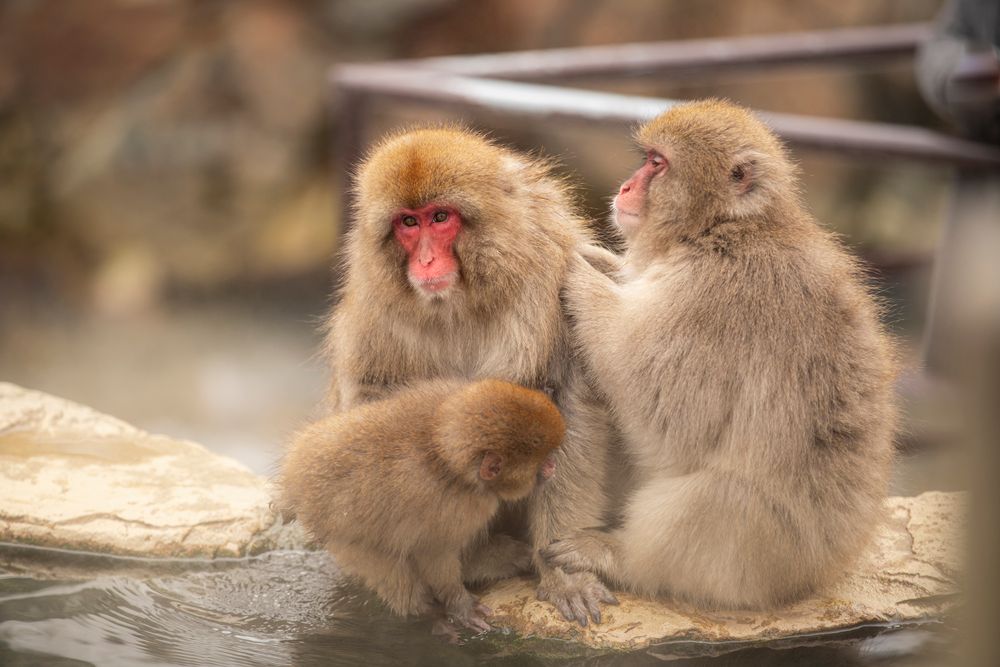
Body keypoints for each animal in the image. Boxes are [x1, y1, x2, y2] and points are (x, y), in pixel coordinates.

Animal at [279, 379, 565, 631]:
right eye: (541, 461)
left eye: (549, 455)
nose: (552, 465)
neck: (445, 455)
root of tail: (294, 478)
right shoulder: (457, 508)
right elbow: (434, 552)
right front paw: (459, 603)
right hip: (339, 534)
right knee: (385, 563)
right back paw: (426, 615)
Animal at [321, 127, 618, 625]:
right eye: (408, 223)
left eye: (440, 217)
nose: (424, 261)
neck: (460, 304)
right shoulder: (373, 309)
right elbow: (371, 403)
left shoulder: (556, 283)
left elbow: (569, 406)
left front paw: (563, 574)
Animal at [543, 99, 897, 610]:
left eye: (657, 163)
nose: (626, 186)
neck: (724, 228)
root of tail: (828, 569)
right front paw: (601, 261)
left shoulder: (715, 296)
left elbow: (667, 412)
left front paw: (575, 268)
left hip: (771, 555)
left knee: (722, 495)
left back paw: (620, 555)